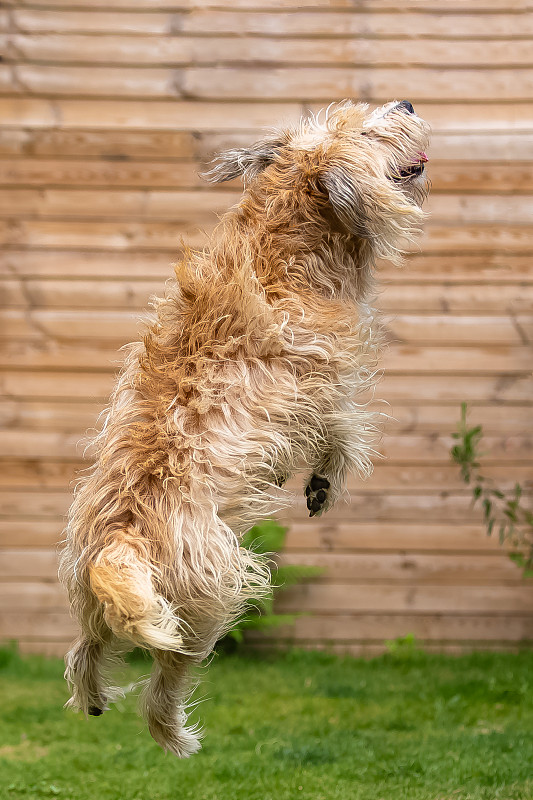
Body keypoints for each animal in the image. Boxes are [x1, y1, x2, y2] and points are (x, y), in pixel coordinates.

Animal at [60, 100, 430, 756]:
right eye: (366, 130)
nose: (408, 104)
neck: (287, 245)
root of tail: (121, 538)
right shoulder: (320, 389)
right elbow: (345, 432)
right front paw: (322, 482)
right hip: (209, 596)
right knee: (164, 681)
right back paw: (177, 735)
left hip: (99, 596)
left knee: (86, 650)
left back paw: (96, 699)